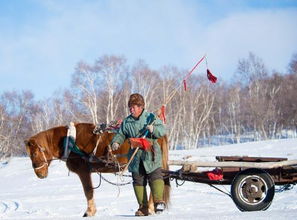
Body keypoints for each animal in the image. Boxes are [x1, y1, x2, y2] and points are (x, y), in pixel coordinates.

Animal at [24, 123, 170, 217]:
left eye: (35, 154)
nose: (39, 174)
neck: (69, 142)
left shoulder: (83, 171)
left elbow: (88, 191)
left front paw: (89, 212)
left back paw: (150, 208)